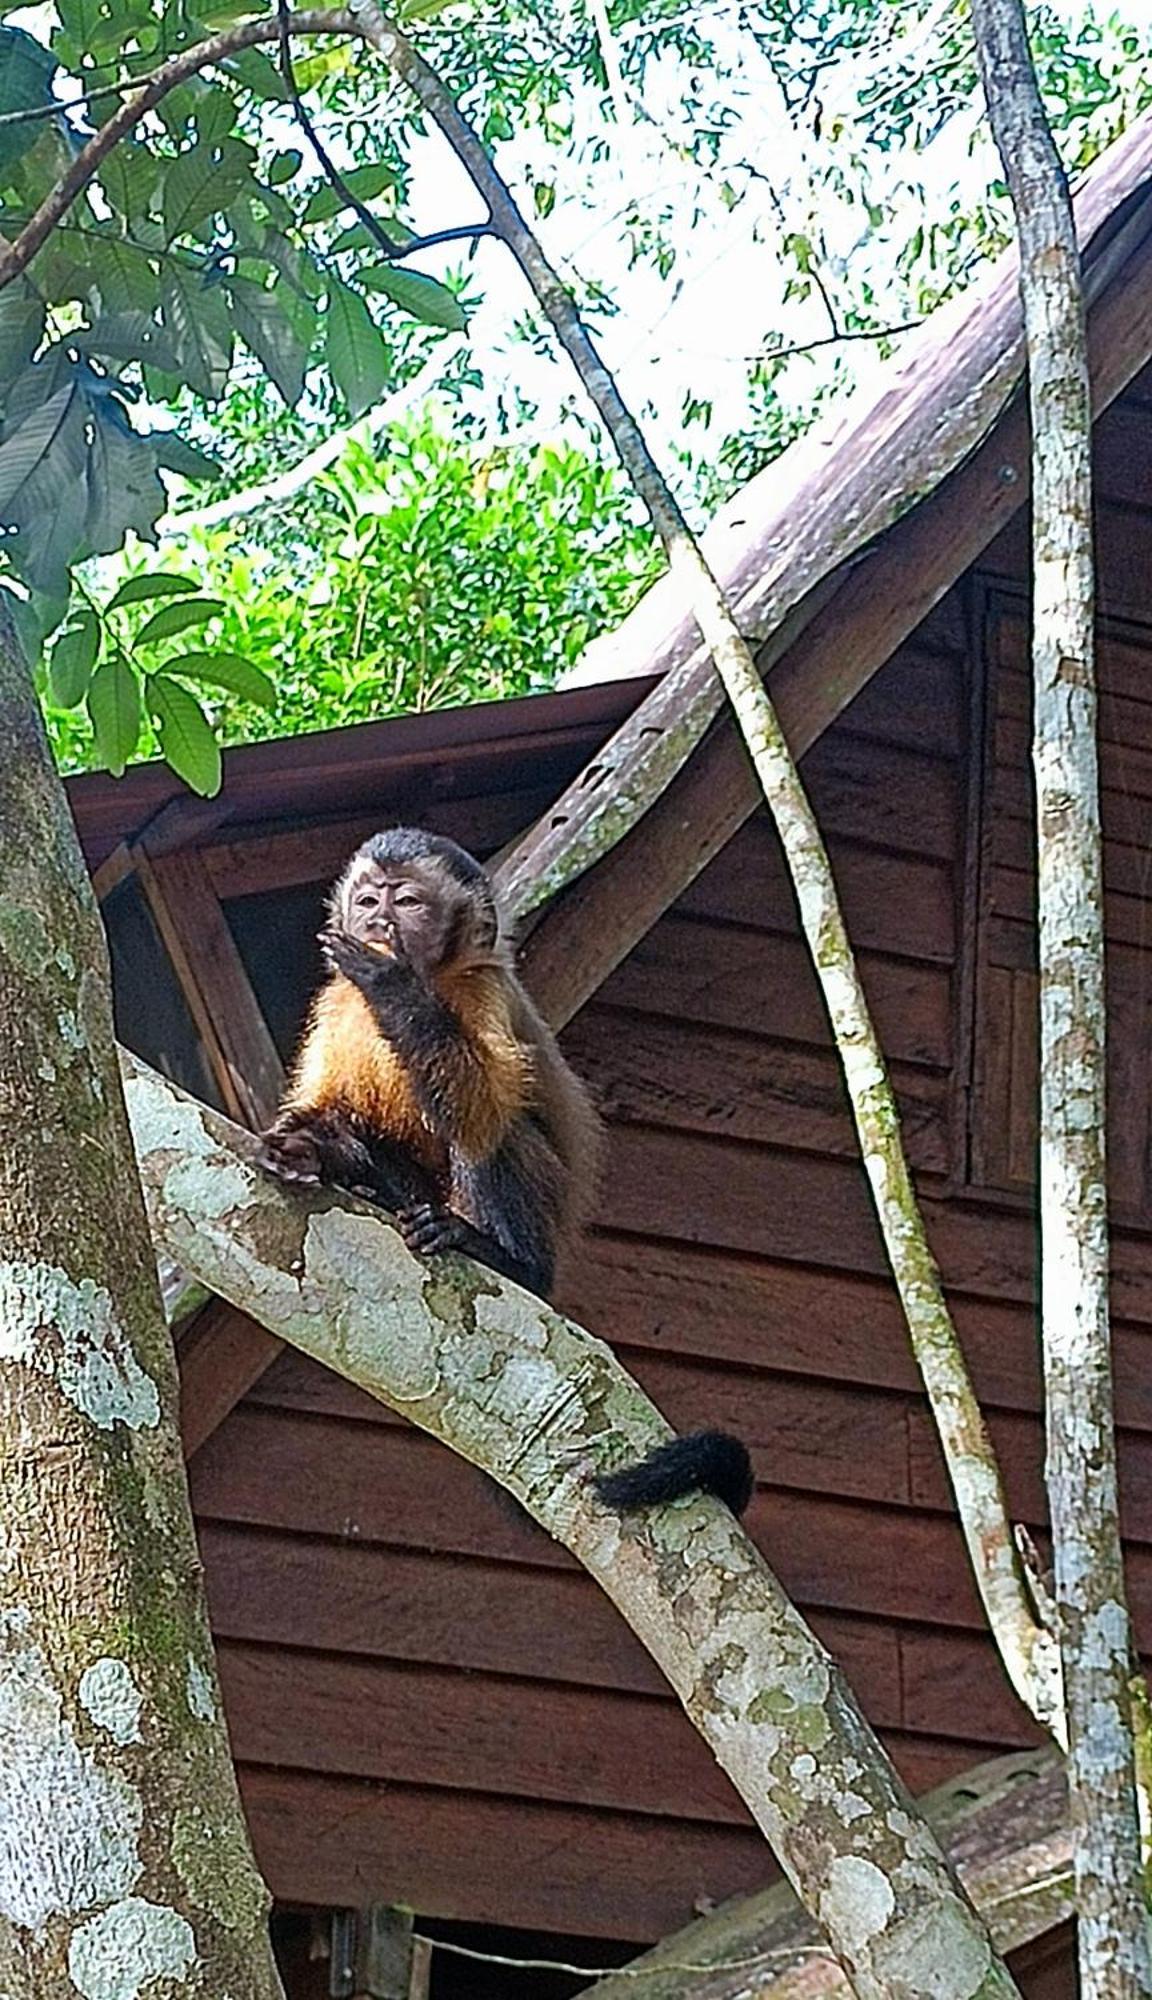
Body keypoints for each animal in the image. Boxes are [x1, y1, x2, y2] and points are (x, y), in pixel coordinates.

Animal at [256, 828, 752, 1512]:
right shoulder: (336, 1003)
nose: (380, 923)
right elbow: (334, 1108)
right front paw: (304, 1149)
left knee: (495, 1134)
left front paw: (394, 986)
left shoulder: (484, 989)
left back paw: (504, 1259)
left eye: (407, 902)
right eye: (367, 900)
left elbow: (480, 1105)